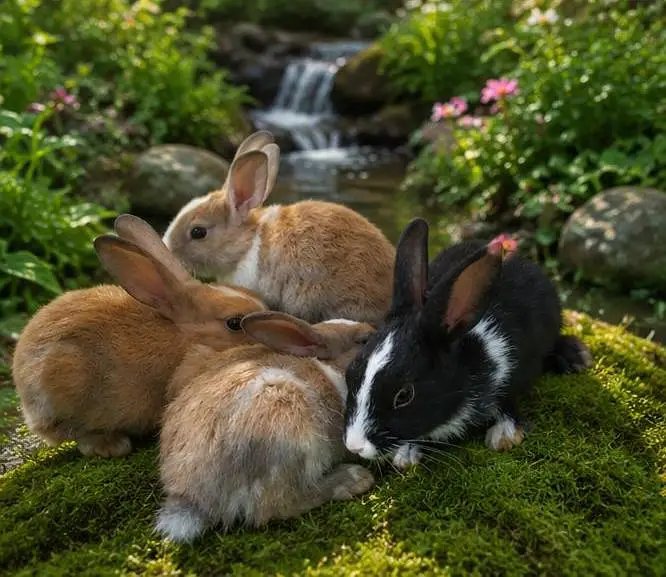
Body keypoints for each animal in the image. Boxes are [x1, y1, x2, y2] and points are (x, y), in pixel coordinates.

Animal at [342, 218, 593, 470]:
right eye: (350, 371)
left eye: (404, 395)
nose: (355, 447)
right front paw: (406, 455)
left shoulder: (515, 371)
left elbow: (509, 402)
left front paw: (504, 436)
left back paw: (577, 356)